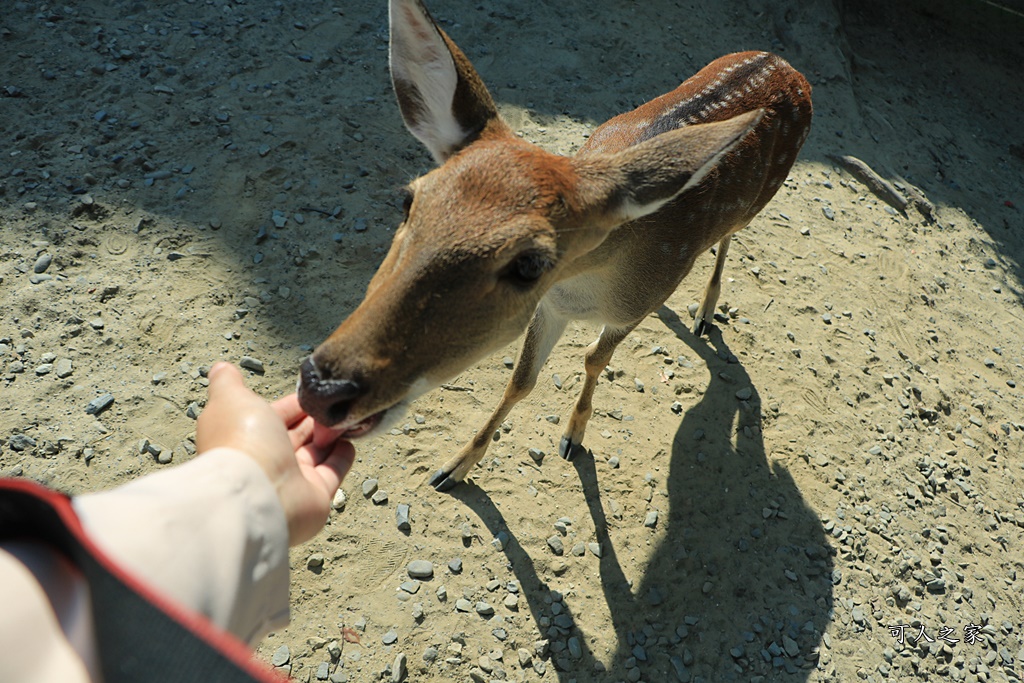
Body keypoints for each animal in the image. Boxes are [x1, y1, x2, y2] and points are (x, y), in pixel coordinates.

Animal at [299, 0, 815, 491]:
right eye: (408, 201)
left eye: (530, 264)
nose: (322, 386)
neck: (589, 288)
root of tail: (786, 63)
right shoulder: (551, 307)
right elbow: (520, 380)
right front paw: (454, 466)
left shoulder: (635, 303)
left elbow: (594, 358)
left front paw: (573, 436)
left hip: (757, 202)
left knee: (729, 236)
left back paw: (705, 313)